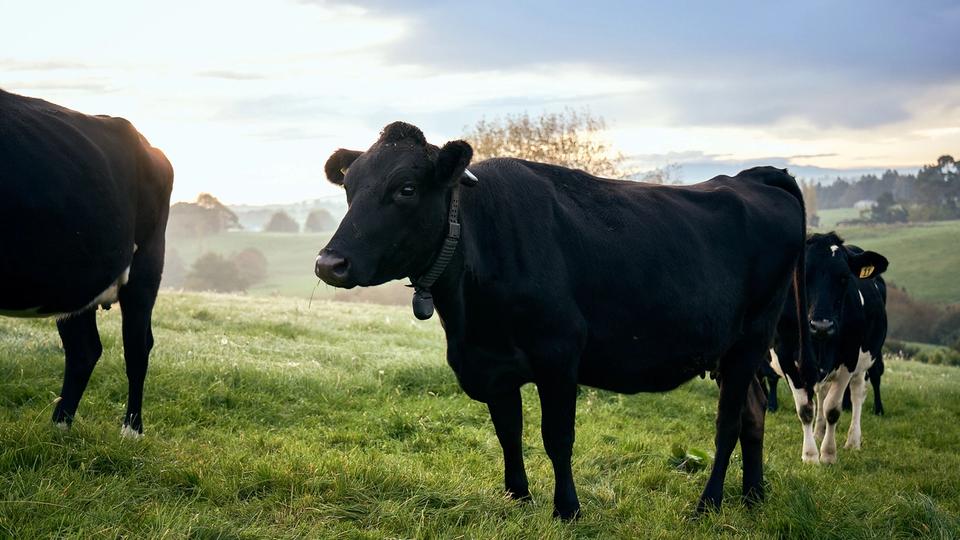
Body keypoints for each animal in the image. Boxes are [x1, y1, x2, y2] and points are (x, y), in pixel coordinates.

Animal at [0, 89, 173, 437]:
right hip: (71, 280)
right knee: (84, 349)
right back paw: (60, 426)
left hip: (147, 265)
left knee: (137, 346)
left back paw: (131, 430)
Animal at [313, 121, 813, 519]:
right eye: (349, 188)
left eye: (406, 188)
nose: (328, 263)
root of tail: (754, 177)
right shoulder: (492, 365)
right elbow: (508, 433)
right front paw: (517, 498)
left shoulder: (558, 355)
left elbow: (557, 436)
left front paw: (567, 509)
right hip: (736, 350)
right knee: (752, 415)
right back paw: (753, 497)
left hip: (751, 338)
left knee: (728, 423)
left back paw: (708, 504)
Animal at [769, 233, 888, 464]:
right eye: (802, 276)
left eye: (844, 278)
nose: (821, 326)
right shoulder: (786, 358)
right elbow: (805, 409)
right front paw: (810, 455)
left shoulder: (849, 357)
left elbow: (833, 409)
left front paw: (828, 454)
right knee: (821, 393)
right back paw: (818, 432)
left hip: (863, 362)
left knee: (857, 394)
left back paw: (853, 441)